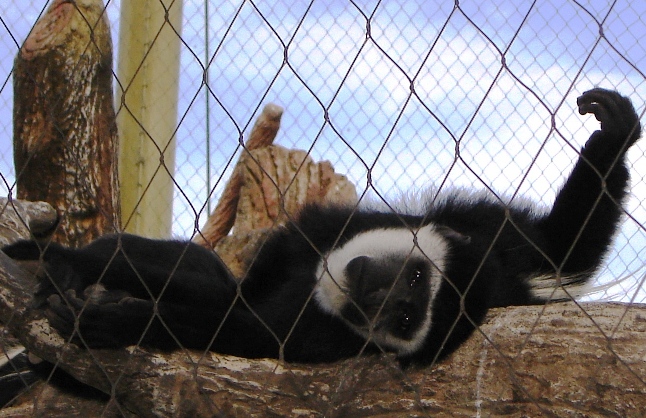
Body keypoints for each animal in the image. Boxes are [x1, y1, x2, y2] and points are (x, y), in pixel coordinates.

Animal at [3, 88, 644, 366]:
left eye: (405, 318)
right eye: (415, 280)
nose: (377, 294)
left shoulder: (313, 335)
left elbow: (236, 322)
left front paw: (112, 322)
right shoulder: (491, 240)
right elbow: (560, 251)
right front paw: (613, 131)